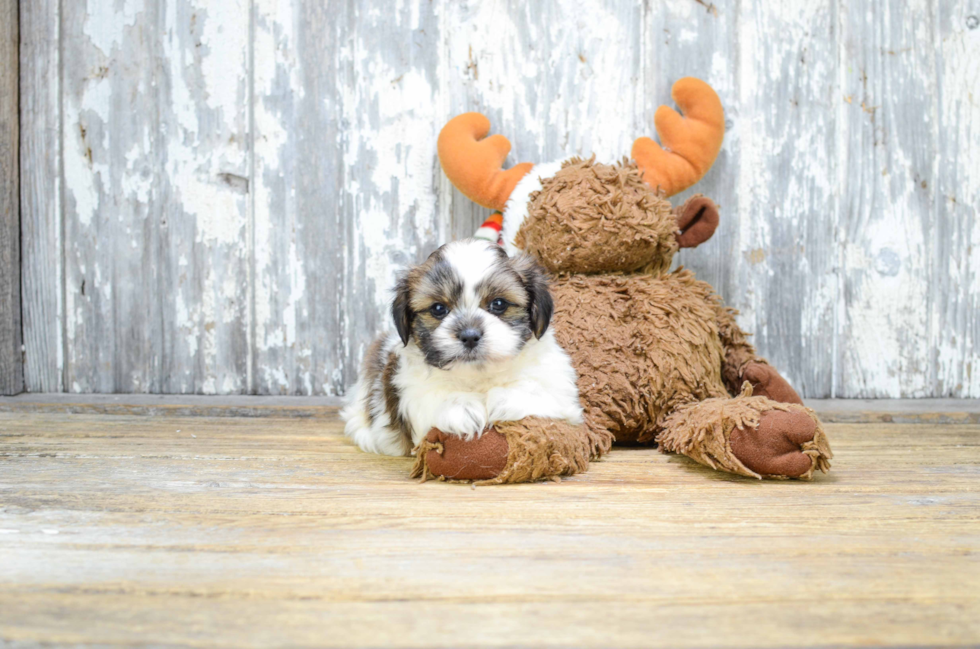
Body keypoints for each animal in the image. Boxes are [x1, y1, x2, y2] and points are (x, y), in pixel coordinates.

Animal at [340, 238, 580, 456]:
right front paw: (461, 407)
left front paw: (506, 398)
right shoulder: (408, 390)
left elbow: (540, 391)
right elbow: (431, 397)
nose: (470, 336)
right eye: (438, 309)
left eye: (499, 304)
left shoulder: (559, 389)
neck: (478, 377)